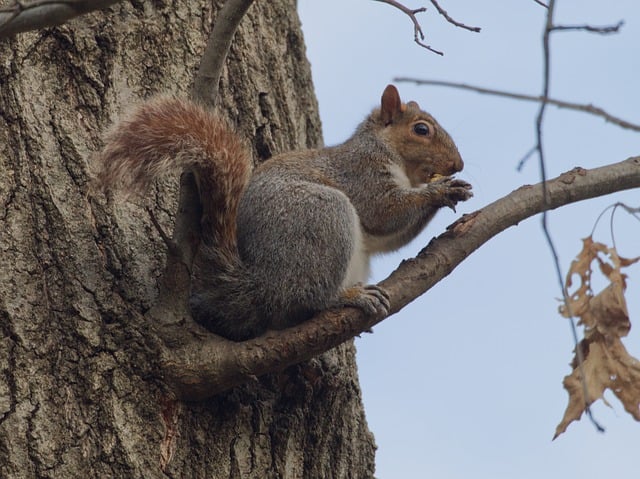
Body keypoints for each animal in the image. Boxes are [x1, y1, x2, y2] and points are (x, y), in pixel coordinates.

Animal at [97, 86, 472, 342]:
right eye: (421, 130)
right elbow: (383, 213)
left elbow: (389, 237)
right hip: (323, 217)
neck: (392, 156)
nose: (457, 164)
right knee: (307, 299)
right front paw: (441, 191)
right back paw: (348, 297)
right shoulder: (360, 173)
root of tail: (260, 284)